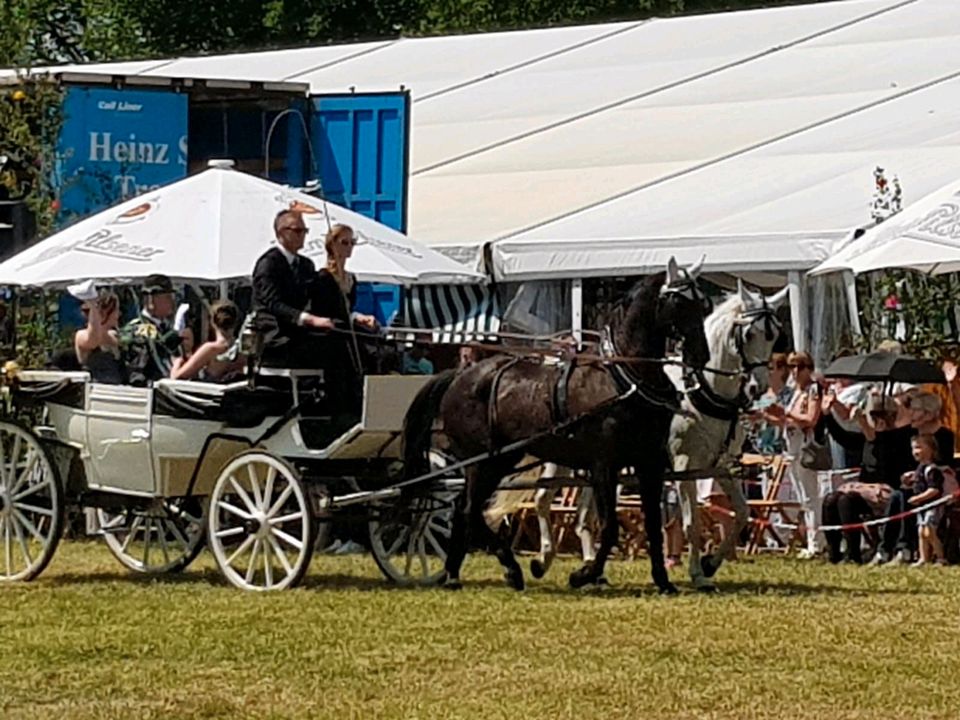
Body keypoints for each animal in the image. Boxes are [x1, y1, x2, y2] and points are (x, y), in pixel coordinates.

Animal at [524, 278, 788, 588]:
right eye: (749, 333)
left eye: (775, 335)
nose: (758, 388)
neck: (702, 390)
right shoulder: (685, 466)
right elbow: (691, 522)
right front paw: (698, 573)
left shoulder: (720, 466)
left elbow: (743, 512)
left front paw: (711, 563)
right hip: (565, 459)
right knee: (543, 499)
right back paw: (544, 559)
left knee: (584, 518)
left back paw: (591, 569)